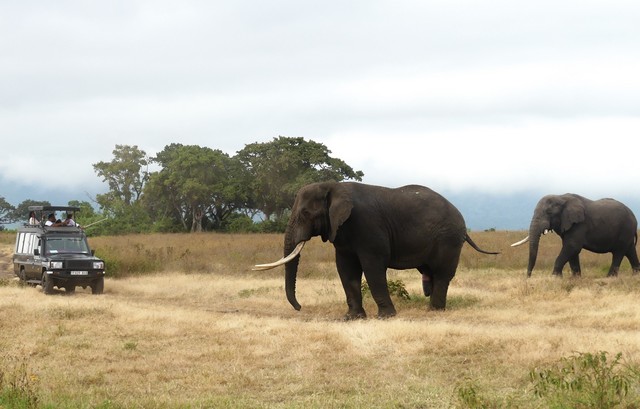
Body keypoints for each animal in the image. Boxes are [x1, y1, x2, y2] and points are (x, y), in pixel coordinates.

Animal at [254, 181, 498, 319]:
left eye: (305, 214)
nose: (299, 308)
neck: (332, 186)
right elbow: (346, 270)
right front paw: (351, 318)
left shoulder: (367, 224)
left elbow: (372, 267)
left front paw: (385, 317)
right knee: (430, 273)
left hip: (448, 239)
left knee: (442, 274)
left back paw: (434, 312)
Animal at [511, 193, 640, 277]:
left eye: (549, 212)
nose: (528, 277)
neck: (561, 197)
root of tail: (634, 217)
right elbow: (572, 251)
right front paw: (575, 278)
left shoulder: (579, 224)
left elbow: (572, 246)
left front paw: (555, 277)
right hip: (627, 232)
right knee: (630, 251)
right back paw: (635, 275)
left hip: (625, 229)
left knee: (619, 252)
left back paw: (610, 277)